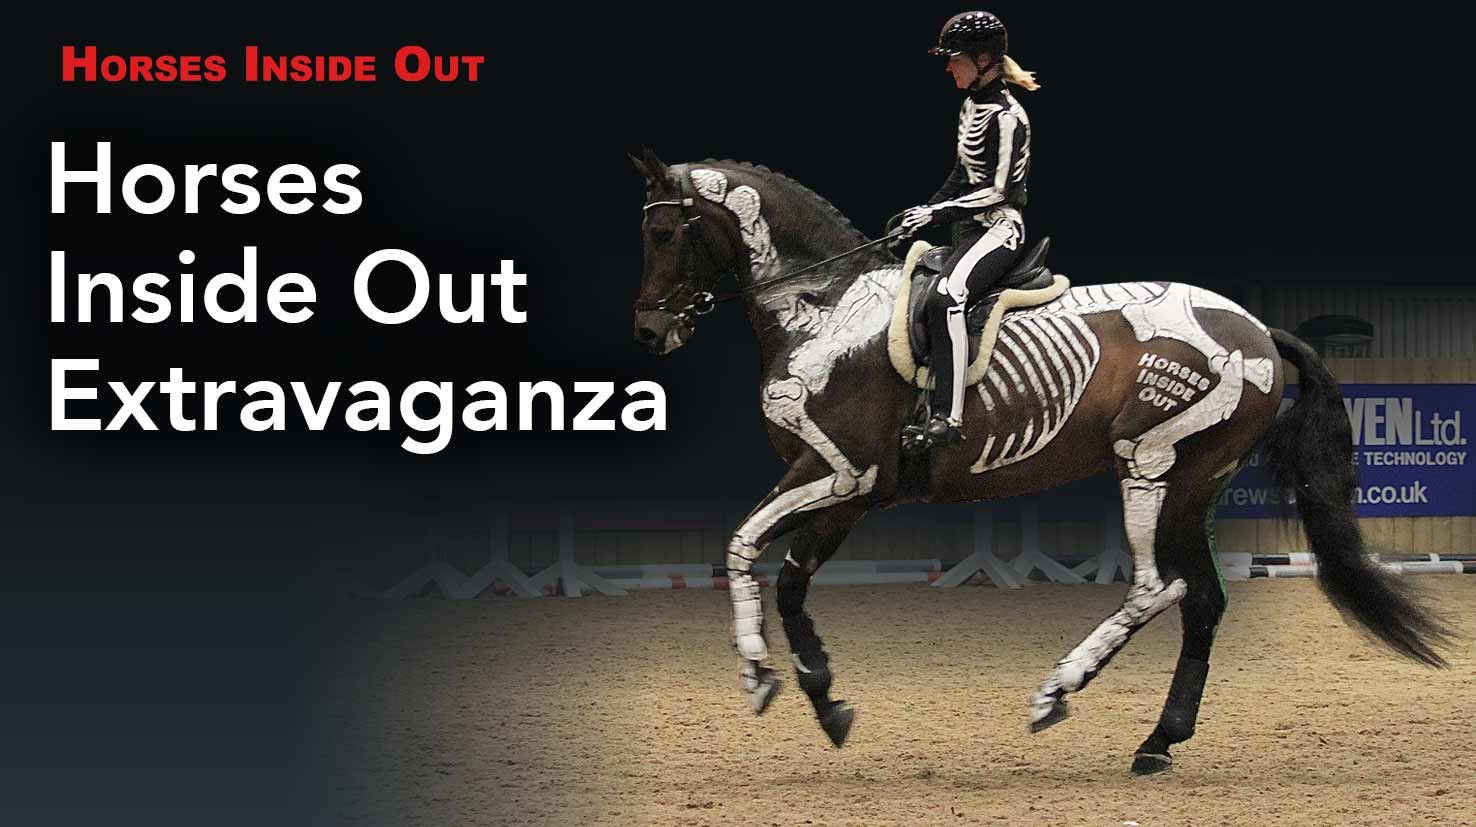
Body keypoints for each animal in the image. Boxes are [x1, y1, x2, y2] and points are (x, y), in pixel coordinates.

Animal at [627, 148, 1450, 774]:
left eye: (666, 232)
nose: (648, 333)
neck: (823, 307)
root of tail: (1255, 329)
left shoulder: (841, 476)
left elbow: (749, 549)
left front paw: (766, 675)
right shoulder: (842, 491)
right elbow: (785, 577)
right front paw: (818, 697)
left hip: (1153, 466)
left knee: (1157, 587)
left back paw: (1059, 691)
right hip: (1194, 487)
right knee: (1202, 601)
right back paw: (1158, 742)